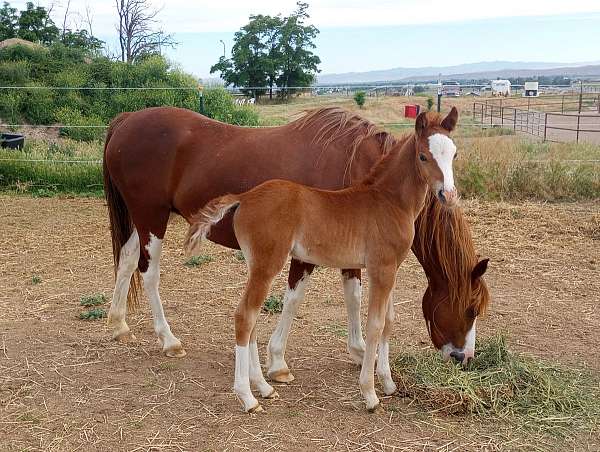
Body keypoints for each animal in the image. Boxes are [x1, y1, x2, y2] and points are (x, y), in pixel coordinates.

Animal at [102, 107, 488, 368]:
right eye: (470, 308)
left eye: (454, 154)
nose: (464, 357)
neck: (363, 169)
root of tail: (126, 120)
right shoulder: (307, 252)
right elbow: (294, 298)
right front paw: (276, 360)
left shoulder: (354, 246)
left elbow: (352, 295)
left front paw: (359, 350)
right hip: (152, 217)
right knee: (149, 272)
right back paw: (168, 339)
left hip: (142, 219)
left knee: (126, 260)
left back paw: (119, 324)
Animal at [184, 107, 468, 412]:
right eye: (424, 156)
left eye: (454, 154)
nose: (448, 195)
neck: (388, 201)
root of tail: (245, 196)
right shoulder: (381, 269)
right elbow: (375, 324)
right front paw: (370, 394)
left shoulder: (391, 269)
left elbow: (389, 321)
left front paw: (388, 383)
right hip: (267, 265)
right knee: (245, 315)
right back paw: (248, 397)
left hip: (256, 265)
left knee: (253, 318)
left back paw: (264, 387)